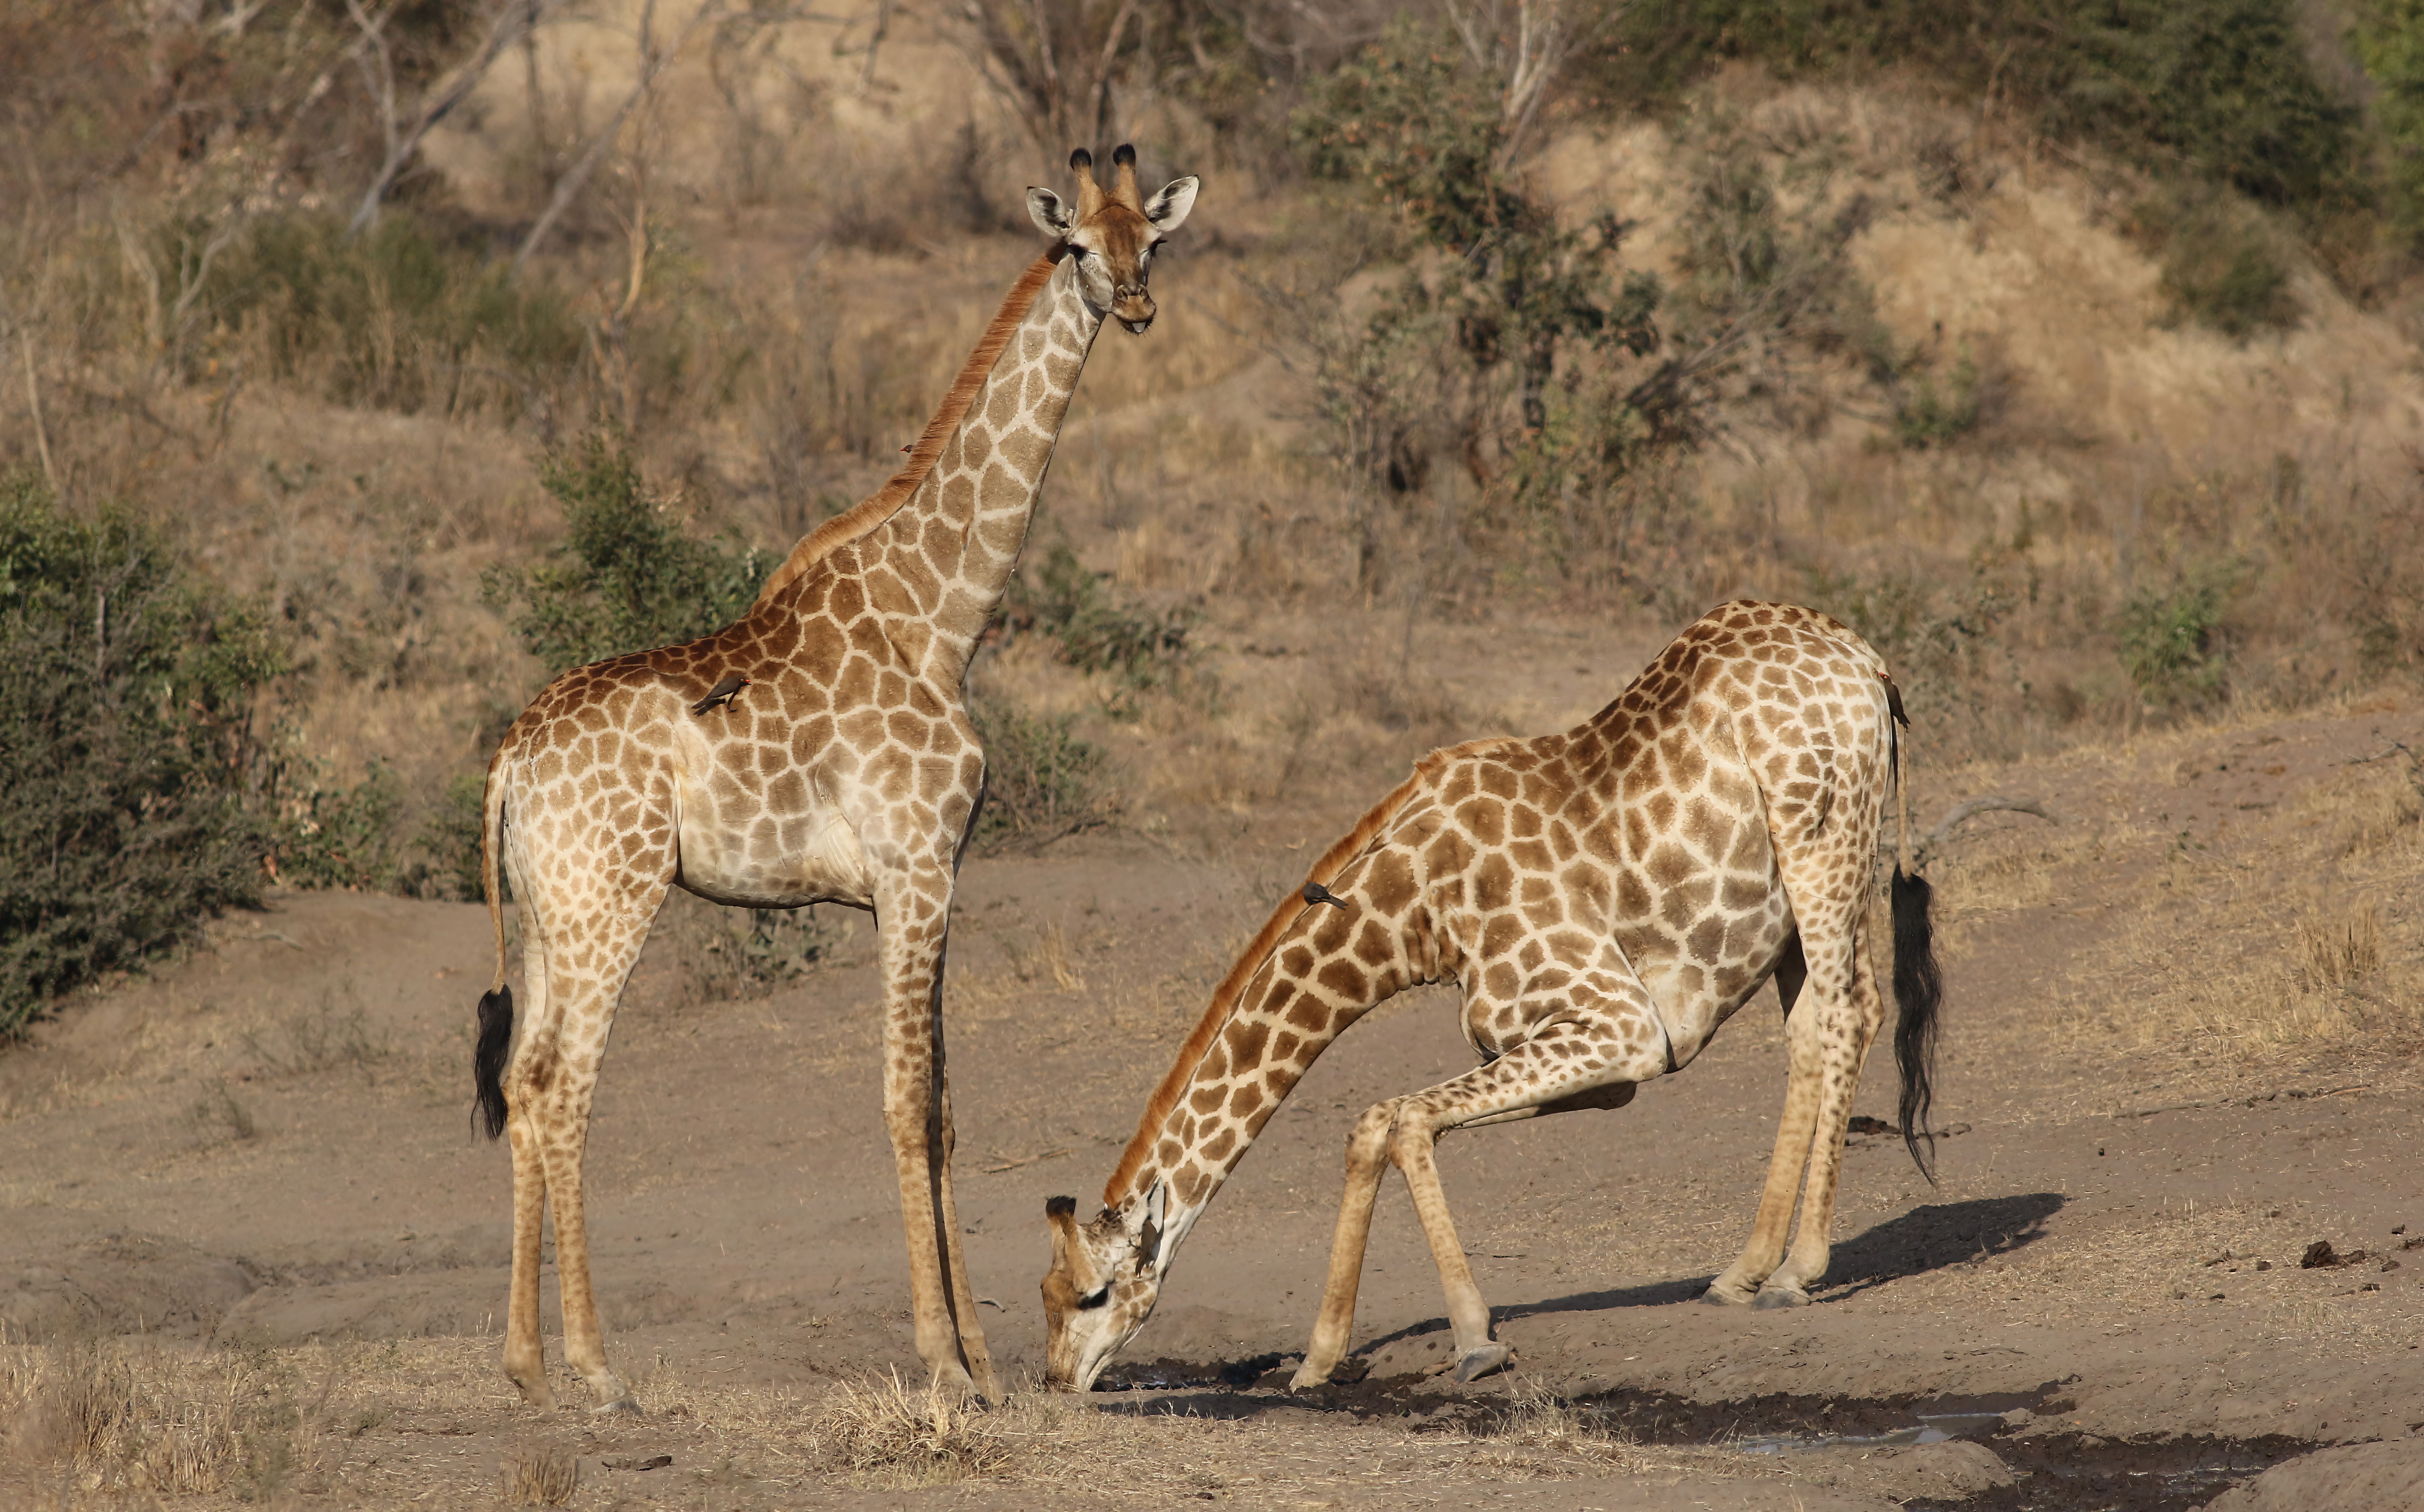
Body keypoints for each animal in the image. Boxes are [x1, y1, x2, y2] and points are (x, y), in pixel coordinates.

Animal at [466, 145, 1199, 1412]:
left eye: (1147, 240)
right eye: (1075, 245)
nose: (1137, 304)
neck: (940, 617)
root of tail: (512, 758)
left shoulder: (924, 877)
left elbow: (946, 1107)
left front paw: (981, 1365)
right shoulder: (913, 868)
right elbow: (906, 1105)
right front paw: (942, 1362)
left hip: (549, 910)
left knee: (521, 1079)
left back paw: (525, 1366)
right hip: (614, 899)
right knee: (565, 1089)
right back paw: (601, 1369)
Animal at [1039, 599, 1945, 1391]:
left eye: (1090, 1293)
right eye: (1043, 1295)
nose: (1056, 1379)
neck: (1415, 914)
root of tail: (1869, 662)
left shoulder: (1619, 1026)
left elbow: (1403, 1118)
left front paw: (1474, 1343)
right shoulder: (1570, 1057)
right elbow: (1380, 1122)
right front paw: (1319, 1360)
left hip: (1822, 840)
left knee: (1850, 1011)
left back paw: (1796, 1271)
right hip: (1791, 899)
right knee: (1812, 1030)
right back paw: (1743, 1269)